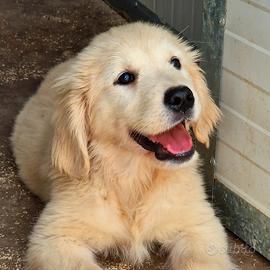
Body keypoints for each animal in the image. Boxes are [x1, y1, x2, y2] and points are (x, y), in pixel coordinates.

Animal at [11, 22, 234, 268]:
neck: (133, 177)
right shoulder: (55, 237)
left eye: (176, 62)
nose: (183, 97)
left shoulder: (200, 224)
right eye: (125, 77)